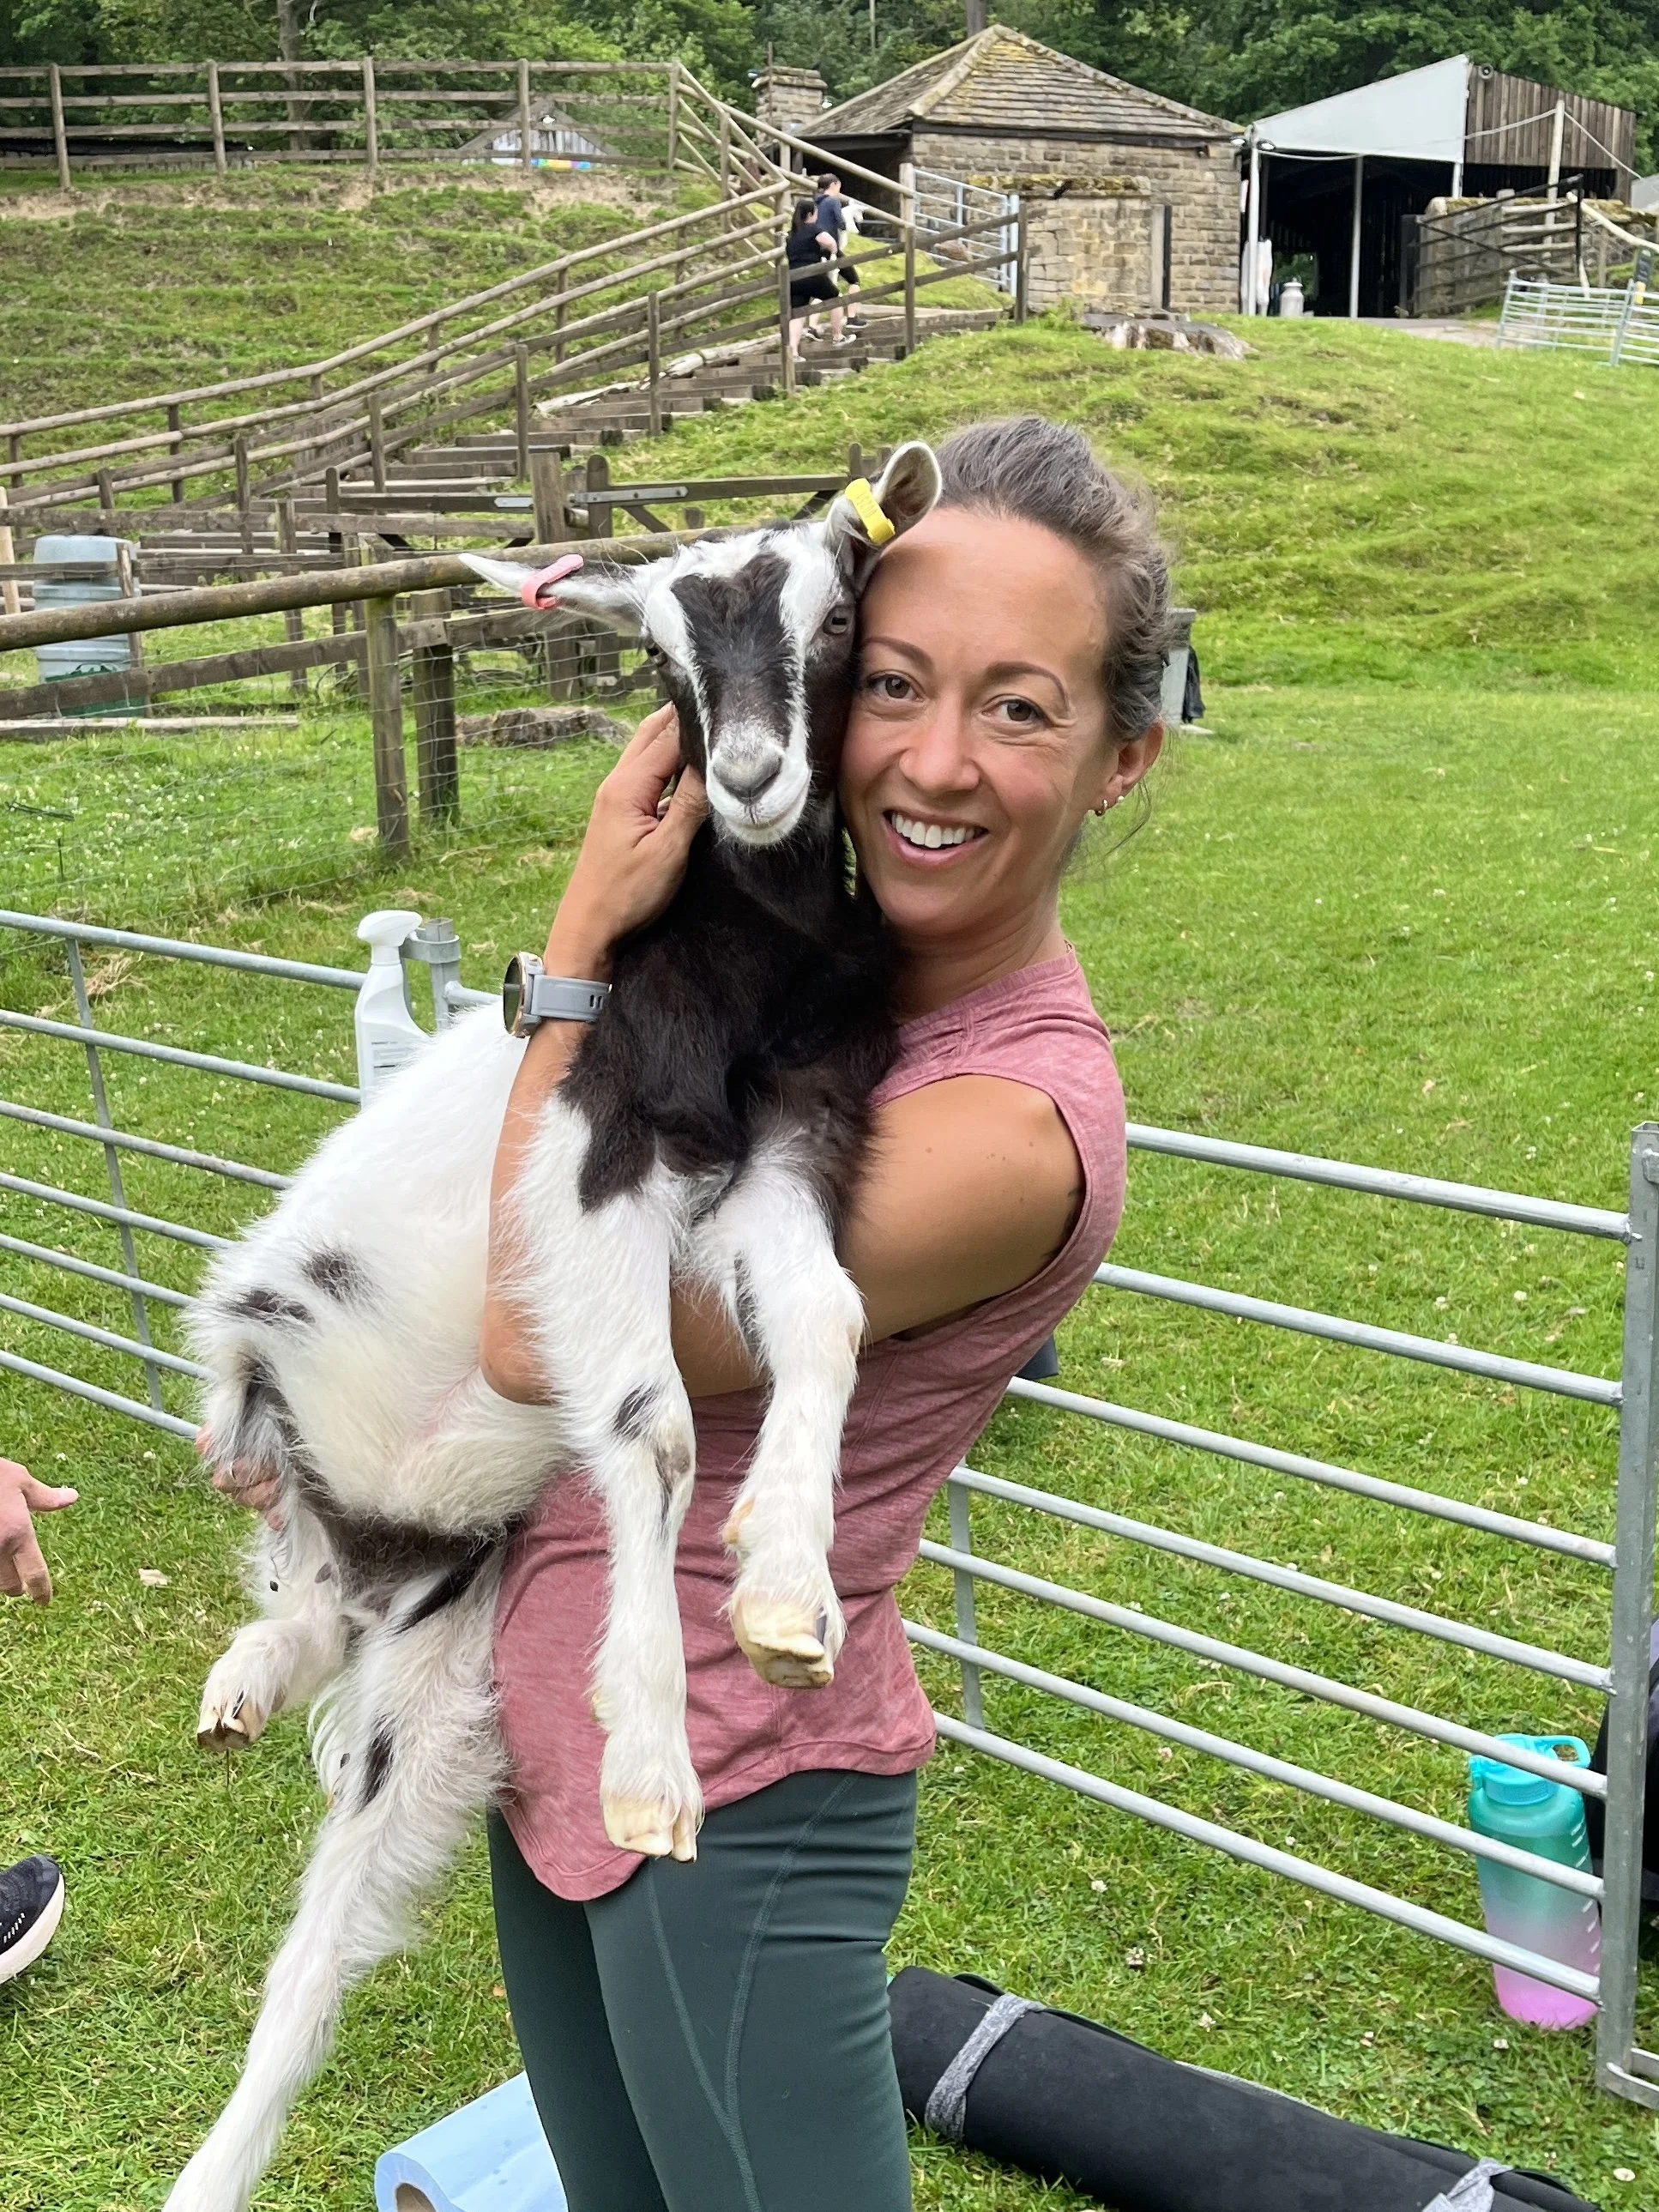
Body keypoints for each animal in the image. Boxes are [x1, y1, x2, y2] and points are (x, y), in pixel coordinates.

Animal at [162, 443, 942, 2212]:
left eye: (837, 612)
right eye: (653, 649)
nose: (748, 776)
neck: (746, 955)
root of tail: (378, 1564)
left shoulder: (790, 1139)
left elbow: (827, 1318)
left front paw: (784, 1584)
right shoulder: (595, 1158)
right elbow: (648, 1433)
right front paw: (649, 1757)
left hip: (434, 1684)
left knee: (323, 1877)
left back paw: (262, 1672)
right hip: (251, 1348)